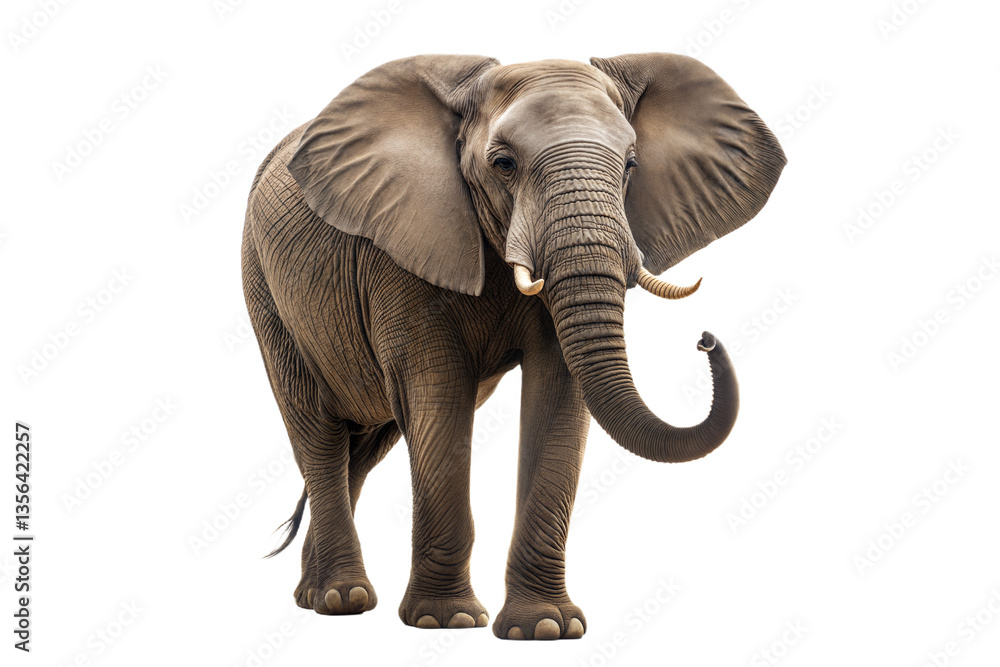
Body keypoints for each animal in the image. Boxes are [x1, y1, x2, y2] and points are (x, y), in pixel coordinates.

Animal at [241, 52, 785, 640]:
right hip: (266, 290)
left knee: (362, 448)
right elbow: (437, 397)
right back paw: (341, 599)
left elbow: (558, 395)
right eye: (503, 164)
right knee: (318, 431)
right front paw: (446, 621)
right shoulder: (400, 251)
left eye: (631, 166)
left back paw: (315, 595)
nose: (706, 339)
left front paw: (546, 628)